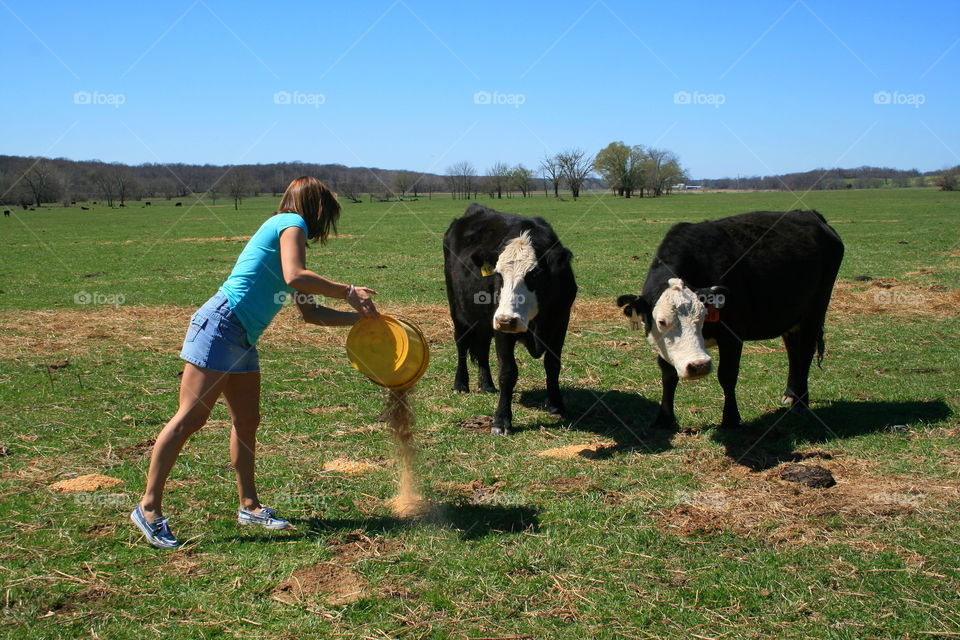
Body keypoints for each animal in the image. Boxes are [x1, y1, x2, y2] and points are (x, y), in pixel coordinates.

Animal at [444, 205, 576, 436]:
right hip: (458, 309)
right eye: (498, 274)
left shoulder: (561, 321)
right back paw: (460, 384)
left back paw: (487, 385)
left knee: (482, 349)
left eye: (535, 274)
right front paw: (501, 420)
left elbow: (552, 365)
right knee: (461, 344)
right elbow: (507, 372)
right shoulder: (502, 330)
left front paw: (556, 405)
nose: (507, 319)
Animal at [620, 211, 844, 430]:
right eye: (662, 322)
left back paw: (800, 403)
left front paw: (730, 419)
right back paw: (791, 394)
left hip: (815, 311)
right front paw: (664, 419)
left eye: (703, 318)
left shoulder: (732, 336)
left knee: (805, 354)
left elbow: (727, 375)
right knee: (793, 353)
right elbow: (668, 375)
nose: (698, 365)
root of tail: (812, 215)